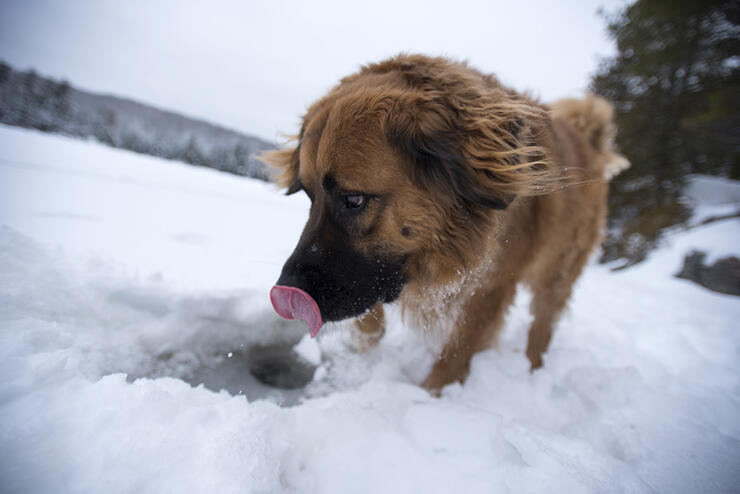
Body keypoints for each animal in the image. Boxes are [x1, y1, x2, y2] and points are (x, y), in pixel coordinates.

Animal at [264, 54, 628, 392]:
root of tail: (588, 139)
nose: (287, 291)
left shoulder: (492, 287)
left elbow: (457, 350)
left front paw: (433, 394)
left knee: (542, 326)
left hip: (557, 274)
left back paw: (532, 371)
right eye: (308, 195)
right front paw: (366, 339)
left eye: (354, 200)